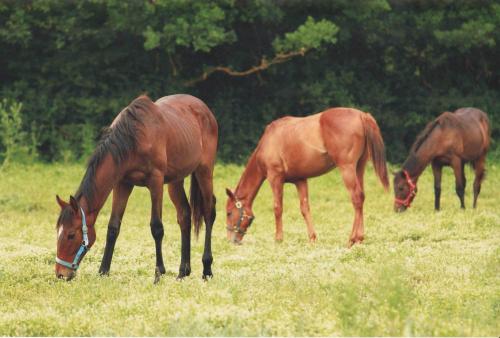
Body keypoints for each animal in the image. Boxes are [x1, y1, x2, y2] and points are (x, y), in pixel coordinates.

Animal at [55, 93, 218, 282]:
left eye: (71, 235)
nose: (60, 273)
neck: (134, 138)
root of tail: (204, 109)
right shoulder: (122, 184)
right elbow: (113, 227)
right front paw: (103, 271)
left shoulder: (156, 182)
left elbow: (157, 228)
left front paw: (159, 272)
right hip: (175, 181)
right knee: (184, 215)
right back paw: (183, 272)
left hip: (204, 171)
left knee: (209, 212)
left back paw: (207, 269)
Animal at [225, 107, 388, 247]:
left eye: (229, 212)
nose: (232, 240)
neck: (268, 141)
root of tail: (362, 115)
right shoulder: (300, 181)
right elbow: (304, 208)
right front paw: (312, 238)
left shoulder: (275, 178)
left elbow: (277, 208)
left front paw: (278, 239)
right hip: (359, 168)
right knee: (361, 198)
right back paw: (359, 239)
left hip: (347, 168)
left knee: (356, 198)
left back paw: (353, 239)